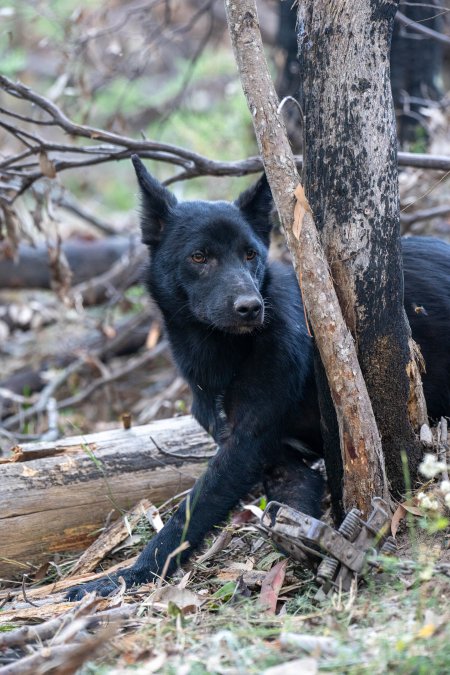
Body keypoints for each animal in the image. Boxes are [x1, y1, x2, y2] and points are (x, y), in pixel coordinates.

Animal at [67, 160, 450, 604]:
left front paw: (127, 576)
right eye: (199, 256)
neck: (223, 354)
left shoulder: (243, 447)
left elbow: (187, 517)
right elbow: (292, 504)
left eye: (250, 254)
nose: (250, 307)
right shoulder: (275, 461)